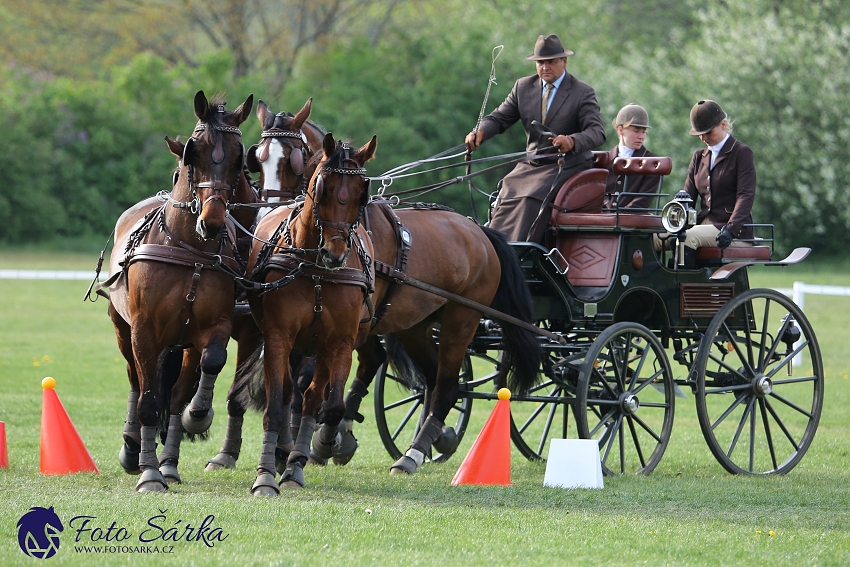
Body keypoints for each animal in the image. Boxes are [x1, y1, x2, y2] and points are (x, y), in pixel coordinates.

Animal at [106, 91, 252, 490]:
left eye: (239, 156)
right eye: (193, 152)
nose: (212, 221)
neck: (190, 251)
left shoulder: (213, 326)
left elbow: (210, 364)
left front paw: (196, 416)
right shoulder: (143, 329)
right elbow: (148, 399)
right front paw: (148, 472)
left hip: (181, 342)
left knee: (174, 389)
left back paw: (170, 461)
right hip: (123, 328)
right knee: (136, 379)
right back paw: (135, 450)